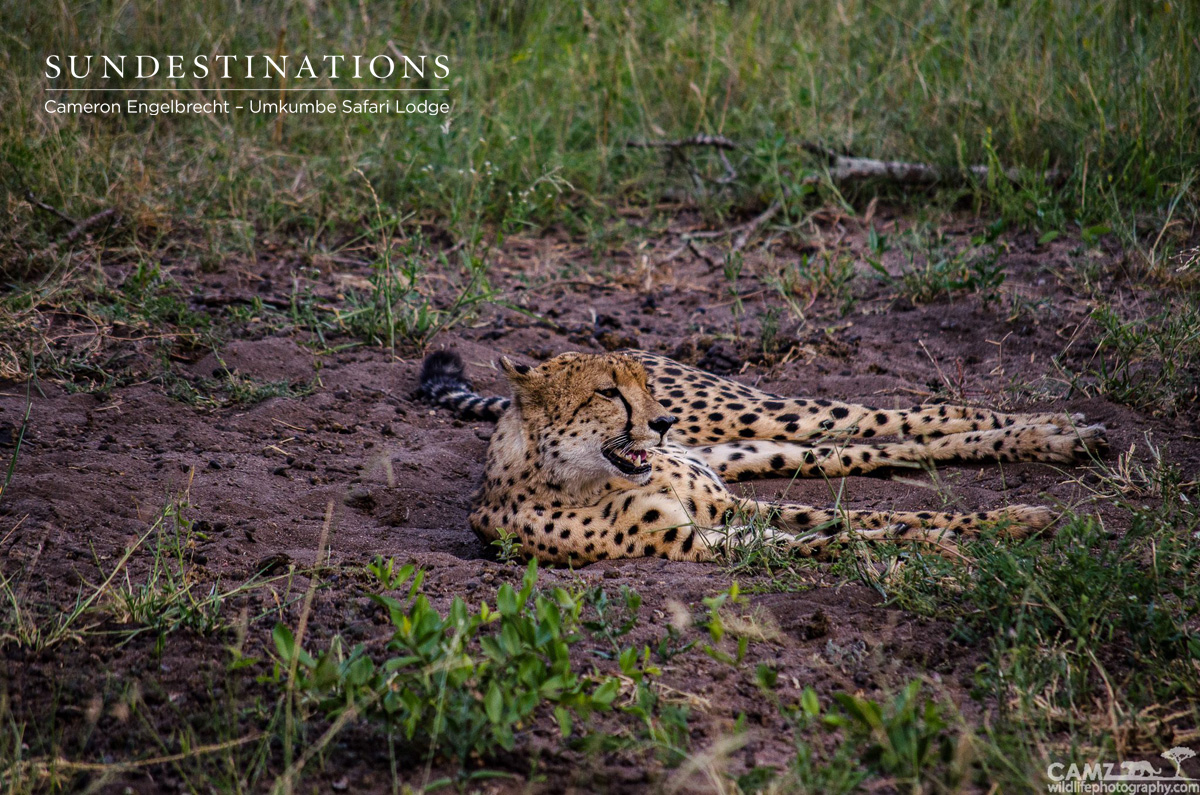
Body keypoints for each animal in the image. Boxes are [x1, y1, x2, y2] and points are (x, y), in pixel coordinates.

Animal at [420, 350, 1104, 566]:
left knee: (890, 419)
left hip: (751, 415)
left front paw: (1004, 522)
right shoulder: (708, 529)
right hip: (749, 450)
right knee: (857, 452)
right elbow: (849, 529)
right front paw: (957, 540)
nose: (660, 421)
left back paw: (1054, 430)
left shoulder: (719, 509)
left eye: (640, 385)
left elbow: (863, 521)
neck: (580, 475)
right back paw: (1049, 435)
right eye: (607, 393)